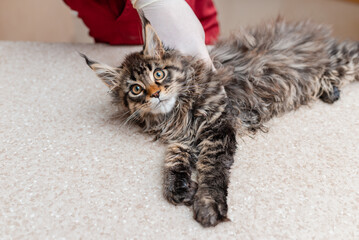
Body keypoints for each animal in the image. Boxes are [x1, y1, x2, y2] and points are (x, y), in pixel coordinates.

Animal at [81, 16, 359, 227]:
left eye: (158, 74)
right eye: (136, 89)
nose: (156, 94)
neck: (176, 115)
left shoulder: (217, 127)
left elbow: (211, 169)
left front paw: (207, 204)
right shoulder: (185, 138)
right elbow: (173, 158)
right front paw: (179, 186)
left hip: (342, 60)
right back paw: (330, 90)